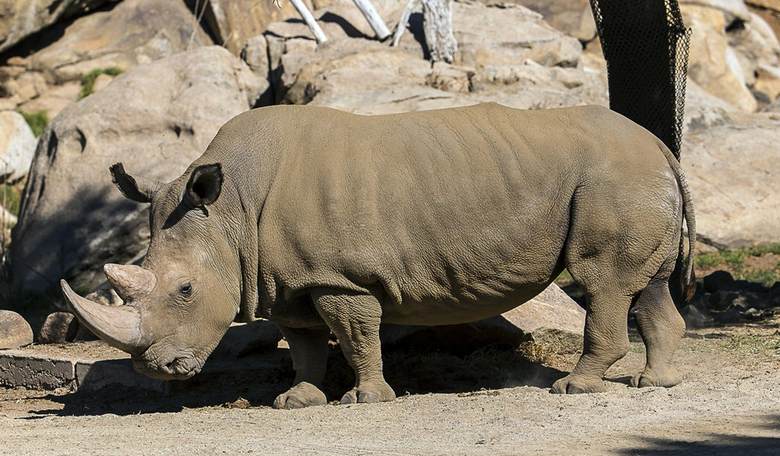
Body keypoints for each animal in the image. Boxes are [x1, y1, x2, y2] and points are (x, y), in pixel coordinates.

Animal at [61, 103, 695, 408]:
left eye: (186, 290)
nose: (157, 369)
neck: (231, 213)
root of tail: (659, 144)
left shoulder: (338, 276)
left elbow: (355, 334)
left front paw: (365, 398)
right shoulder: (288, 280)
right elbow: (304, 343)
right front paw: (296, 401)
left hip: (615, 179)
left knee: (605, 282)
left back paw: (574, 389)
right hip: (632, 179)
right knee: (649, 286)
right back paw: (656, 384)